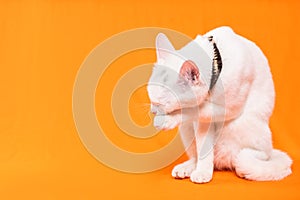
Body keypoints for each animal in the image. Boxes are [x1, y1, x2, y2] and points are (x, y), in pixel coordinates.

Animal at [148, 27, 292, 184]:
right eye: (150, 94)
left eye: (162, 102)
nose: (153, 110)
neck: (217, 62)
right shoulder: (202, 123)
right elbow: (202, 148)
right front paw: (203, 172)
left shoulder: (228, 109)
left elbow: (192, 110)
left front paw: (167, 120)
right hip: (187, 129)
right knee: (197, 155)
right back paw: (188, 168)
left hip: (243, 129)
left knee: (255, 158)